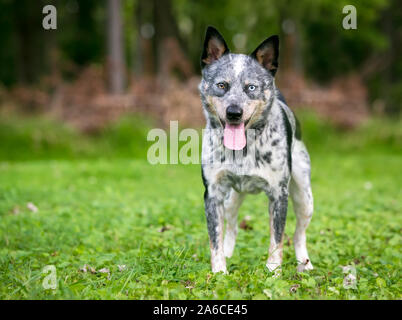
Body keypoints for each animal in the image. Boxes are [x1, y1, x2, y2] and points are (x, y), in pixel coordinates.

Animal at [198, 26, 314, 274]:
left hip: (304, 197)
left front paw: (273, 271)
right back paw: (229, 253)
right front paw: (219, 272)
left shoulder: (279, 194)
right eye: (222, 85)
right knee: (232, 227)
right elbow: (215, 239)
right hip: (231, 199)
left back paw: (304, 262)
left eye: (251, 87)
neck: (242, 150)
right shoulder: (213, 193)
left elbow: (277, 238)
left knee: (299, 233)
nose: (234, 112)